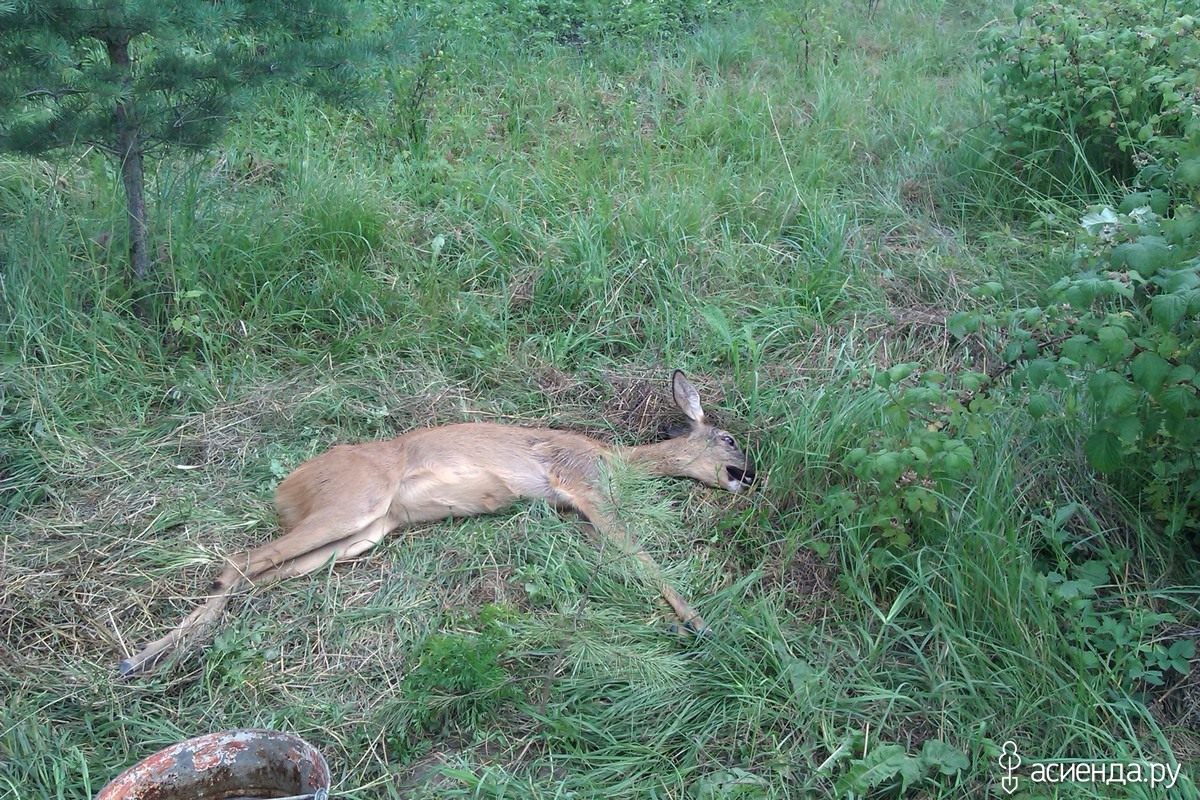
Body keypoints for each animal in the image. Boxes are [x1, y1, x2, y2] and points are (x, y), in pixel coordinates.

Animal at [124, 371, 758, 671]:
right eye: (729, 439)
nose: (748, 476)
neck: (615, 460)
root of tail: (286, 487)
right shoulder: (582, 484)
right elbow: (642, 555)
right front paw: (698, 621)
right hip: (354, 502)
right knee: (234, 562)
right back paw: (144, 657)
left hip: (362, 535)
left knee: (257, 574)